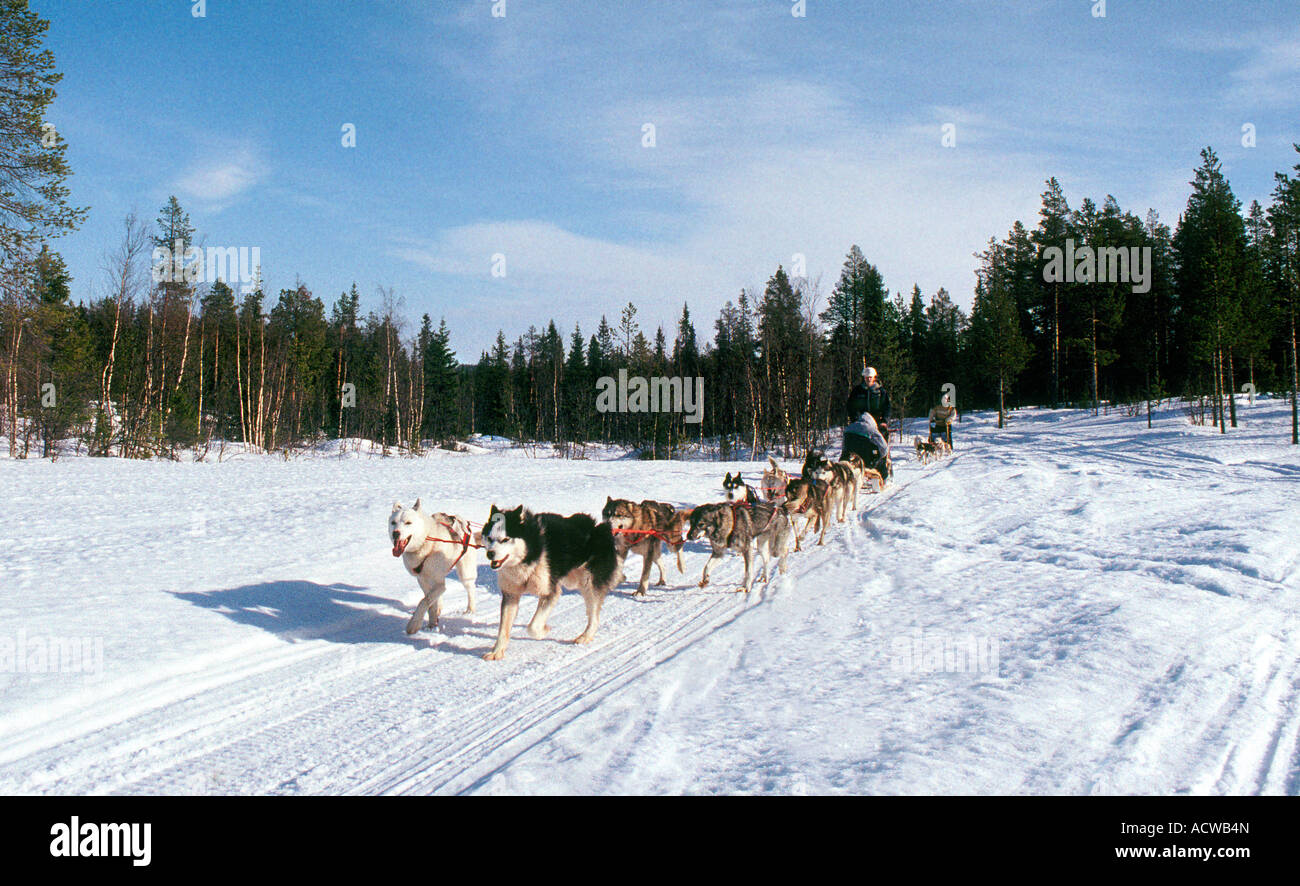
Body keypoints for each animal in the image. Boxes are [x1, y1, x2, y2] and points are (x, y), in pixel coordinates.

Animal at [392, 496, 486, 633]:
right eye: (393, 522)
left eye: (408, 522)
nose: (395, 533)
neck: (425, 544)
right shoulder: (422, 580)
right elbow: (429, 602)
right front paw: (432, 623)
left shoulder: (439, 584)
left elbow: (424, 602)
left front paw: (413, 624)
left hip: (465, 574)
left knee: (470, 590)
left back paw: (470, 610)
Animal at [480, 504, 626, 654]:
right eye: (490, 538)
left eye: (505, 539)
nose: (490, 554)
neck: (531, 552)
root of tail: (599, 528)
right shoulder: (511, 594)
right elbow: (503, 628)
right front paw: (496, 652)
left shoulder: (550, 592)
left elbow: (532, 627)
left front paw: (544, 630)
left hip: (589, 585)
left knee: (594, 616)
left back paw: (585, 636)